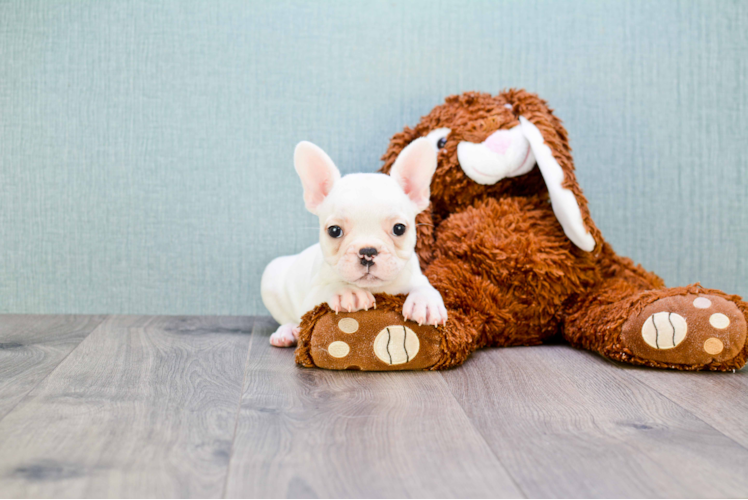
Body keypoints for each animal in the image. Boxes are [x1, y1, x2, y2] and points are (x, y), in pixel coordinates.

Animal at [262, 138, 448, 348]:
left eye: (399, 229)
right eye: (334, 231)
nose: (368, 251)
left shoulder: (415, 275)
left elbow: (425, 286)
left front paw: (426, 302)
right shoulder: (309, 301)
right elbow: (327, 288)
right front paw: (347, 292)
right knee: (287, 318)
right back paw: (287, 332)